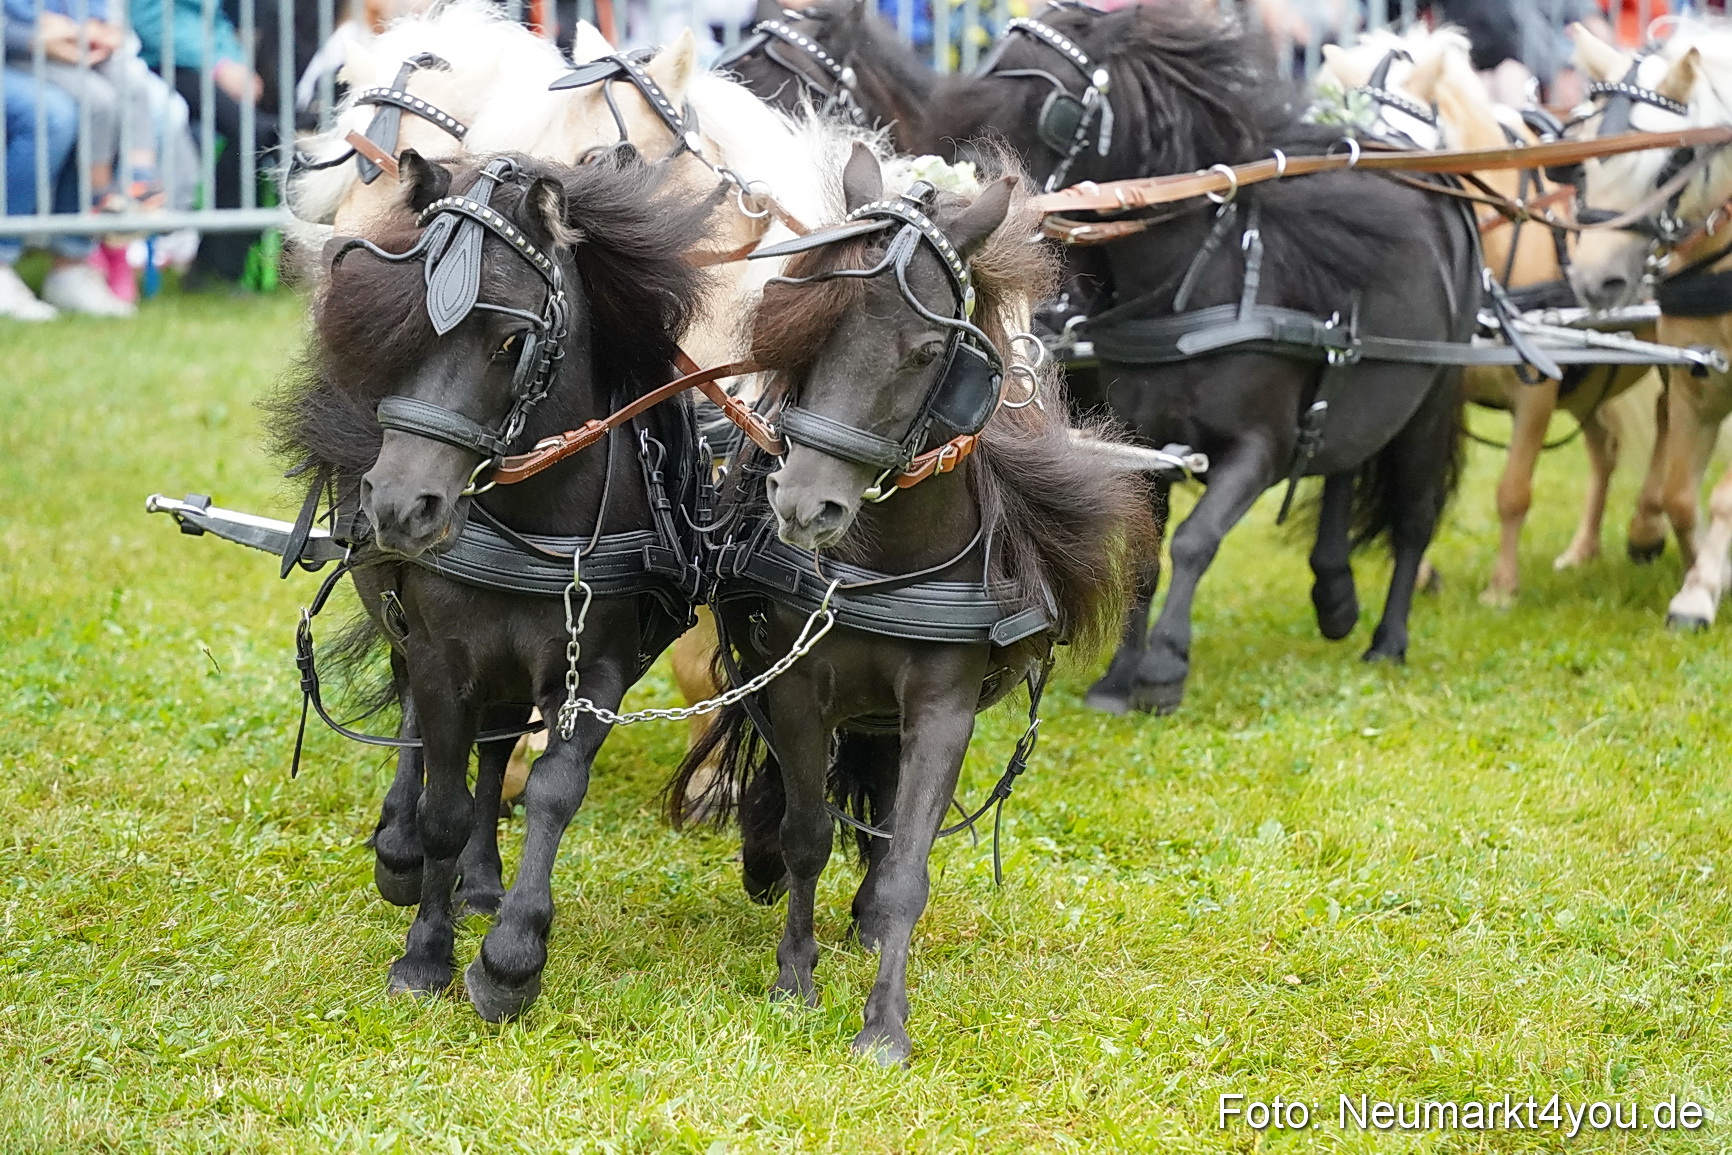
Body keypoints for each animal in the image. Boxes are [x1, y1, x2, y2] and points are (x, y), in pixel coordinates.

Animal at [269, 150, 716, 1017]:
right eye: (398, 322)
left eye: (513, 340)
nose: (400, 504)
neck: (533, 520)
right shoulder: (444, 654)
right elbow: (441, 799)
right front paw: (424, 951)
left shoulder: (593, 667)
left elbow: (550, 790)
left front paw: (512, 955)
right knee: (419, 728)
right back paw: (400, 852)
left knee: (495, 746)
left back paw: (479, 883)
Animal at [670, 143, 1149, 1064]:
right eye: (800, 320)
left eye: (930, 352)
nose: (805, 506)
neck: (879, 566)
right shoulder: (795, 685)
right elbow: (809, 834)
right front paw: (794, 978)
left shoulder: (940, 703)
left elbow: (906, 865)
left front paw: (884, 1022)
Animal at [917, 3, 1478, 714]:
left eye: (1051, 102)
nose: (953, 197)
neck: (1194, 281)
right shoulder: (1147, 446)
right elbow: (1145, 558)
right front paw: (1117, 679)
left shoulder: (1257, 449)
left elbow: (1194, 540)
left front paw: (1163, 669)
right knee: (1344, 462)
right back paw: (1334, 596)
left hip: (1432, 399)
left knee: (1413, 517)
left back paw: (1388, 639)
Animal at [1317, 25, 1663, 608]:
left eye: (1397, 148)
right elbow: (1419, 482)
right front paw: (1423, 576)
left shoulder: (1537, 391)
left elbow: (1513, 491)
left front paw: (1502, 590)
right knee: (1605, 450)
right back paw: (1583, 550)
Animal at [1569, 19, 1732, 629]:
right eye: (1583, 158)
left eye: (1667, 166)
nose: (1597, 282)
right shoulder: (1696, 378)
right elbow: (1683, 494)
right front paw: (1704, 577)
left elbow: (1723, 494)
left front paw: (1700, 589)